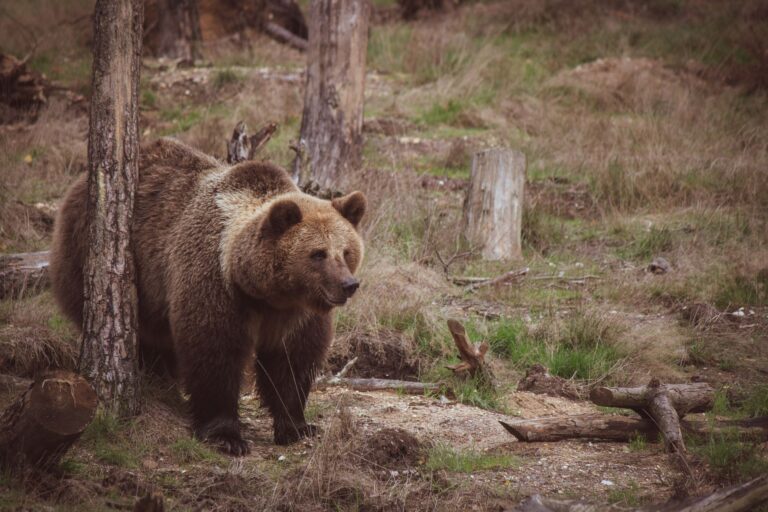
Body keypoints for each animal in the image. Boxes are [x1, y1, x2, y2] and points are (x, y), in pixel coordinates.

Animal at [50, 138, 366, 455]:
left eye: (346, 251)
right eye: (318, 254)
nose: (348, 284)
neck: (264, 292)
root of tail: (78, 184)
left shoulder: (296, 313)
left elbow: (292, 361)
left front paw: (297, 426)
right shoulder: (215, 283)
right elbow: (214, 350)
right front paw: (226, 435)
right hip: (97, 257)